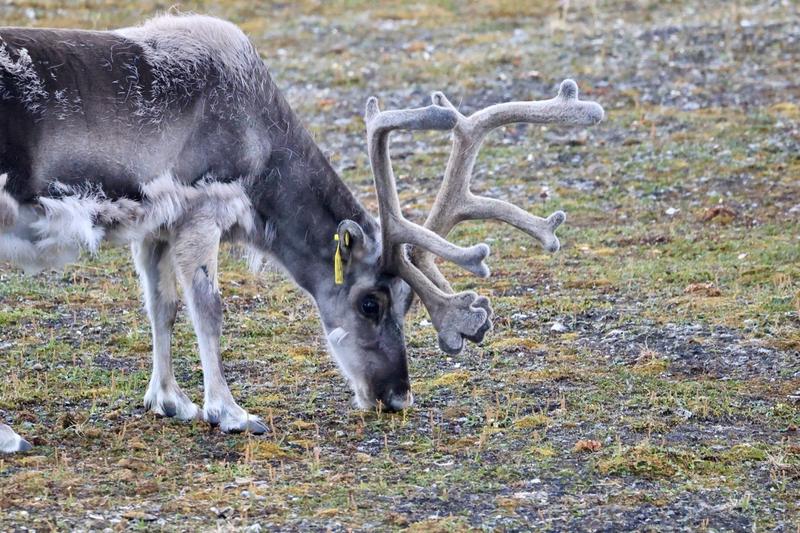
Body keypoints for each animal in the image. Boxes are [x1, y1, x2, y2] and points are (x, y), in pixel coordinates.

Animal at [0, 14, 603, 453]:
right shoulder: (204, 204)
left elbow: (161, 306)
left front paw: (169, 400)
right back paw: (11, 437)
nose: (396, 396)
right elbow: (208, 309)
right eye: (370, 303)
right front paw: (229, 411)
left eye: (408, 302)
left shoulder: (155, 224)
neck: (265, 155)